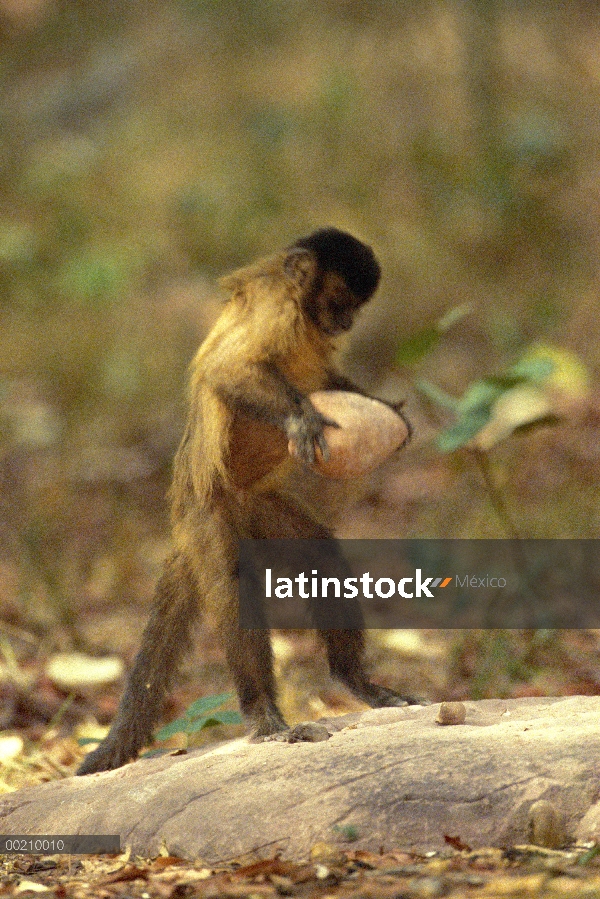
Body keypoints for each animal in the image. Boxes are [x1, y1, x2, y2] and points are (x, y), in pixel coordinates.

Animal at [77, 225, 414, 772]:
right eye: (339, 303)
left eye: (353, 312)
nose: (344, 323)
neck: (304, 313)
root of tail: (185, 503)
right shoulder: (276, 304)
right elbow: (229, 368)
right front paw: (301, 417)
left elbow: (325, 381)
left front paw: (387, 409)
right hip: (206, 515)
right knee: (231, 585)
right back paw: (265, 717)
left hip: (254, 506)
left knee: (318, 553)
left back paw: (355, 682)